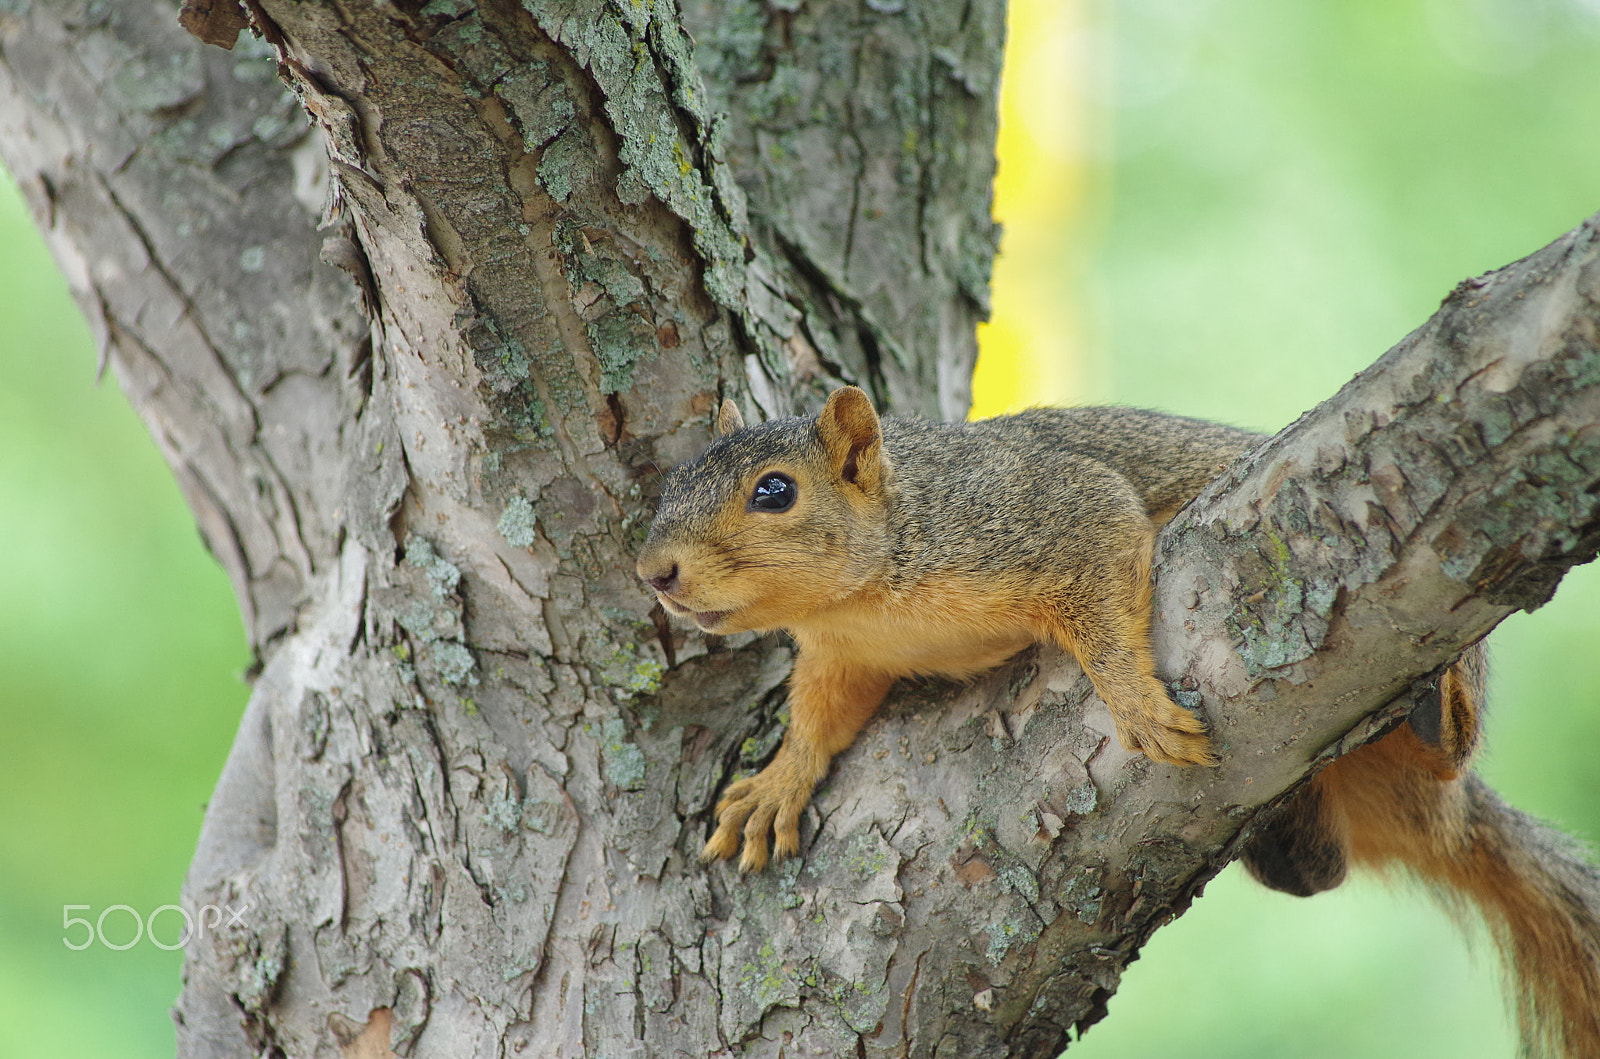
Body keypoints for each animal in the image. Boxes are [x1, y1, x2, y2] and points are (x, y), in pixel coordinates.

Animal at [633, 385, 1600, 1055]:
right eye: (671, 482)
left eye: (774, 491)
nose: (653, 572)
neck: (869, 592)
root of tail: (1435, 814)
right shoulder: (843, 654)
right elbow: (819, 718)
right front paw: (779, 782)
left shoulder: (1038, 509)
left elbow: (1099, 576)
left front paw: (1130, 698)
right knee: (1315, 872)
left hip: (1447, 696)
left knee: (1453, 743)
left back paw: (1441, 709)